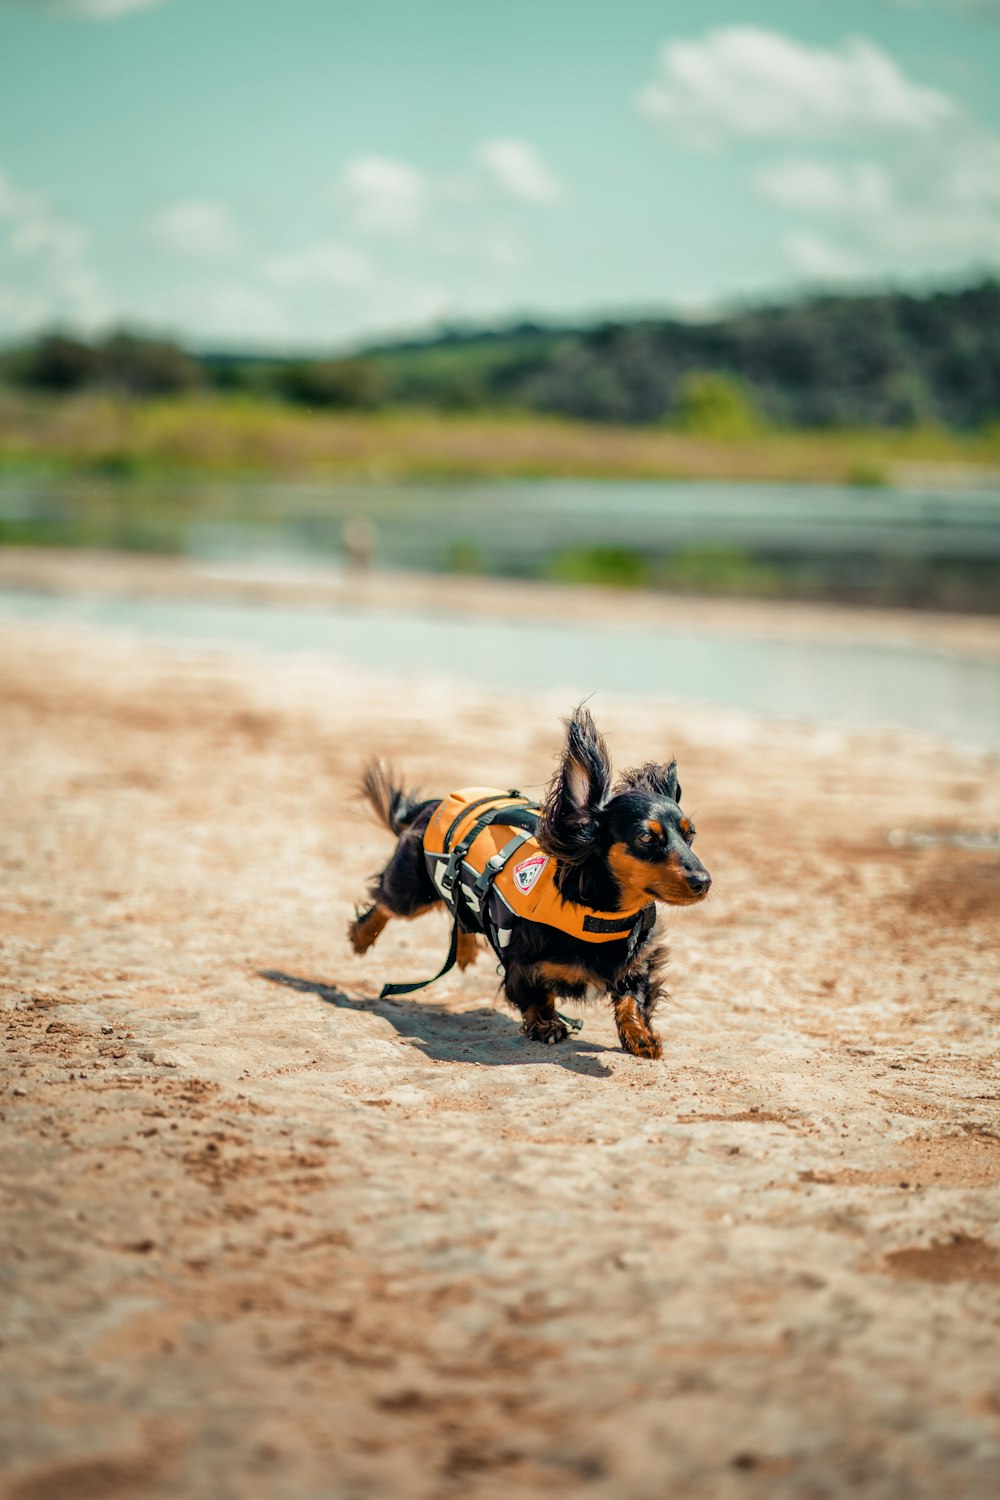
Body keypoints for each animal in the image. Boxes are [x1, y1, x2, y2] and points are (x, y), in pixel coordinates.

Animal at [347, 702, 707, 1056]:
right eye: (647, 837)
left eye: (690, 834)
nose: (704, 881)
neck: (599, 917)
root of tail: (432, 805)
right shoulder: (522, 962)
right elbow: (536, 992)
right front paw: (547, 1025)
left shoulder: (639, 963)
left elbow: (633, 997)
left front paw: (640, 1035)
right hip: (412, 892)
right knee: (386, 903)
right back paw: (361, 936)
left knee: (461, 913)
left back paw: (464, 949)